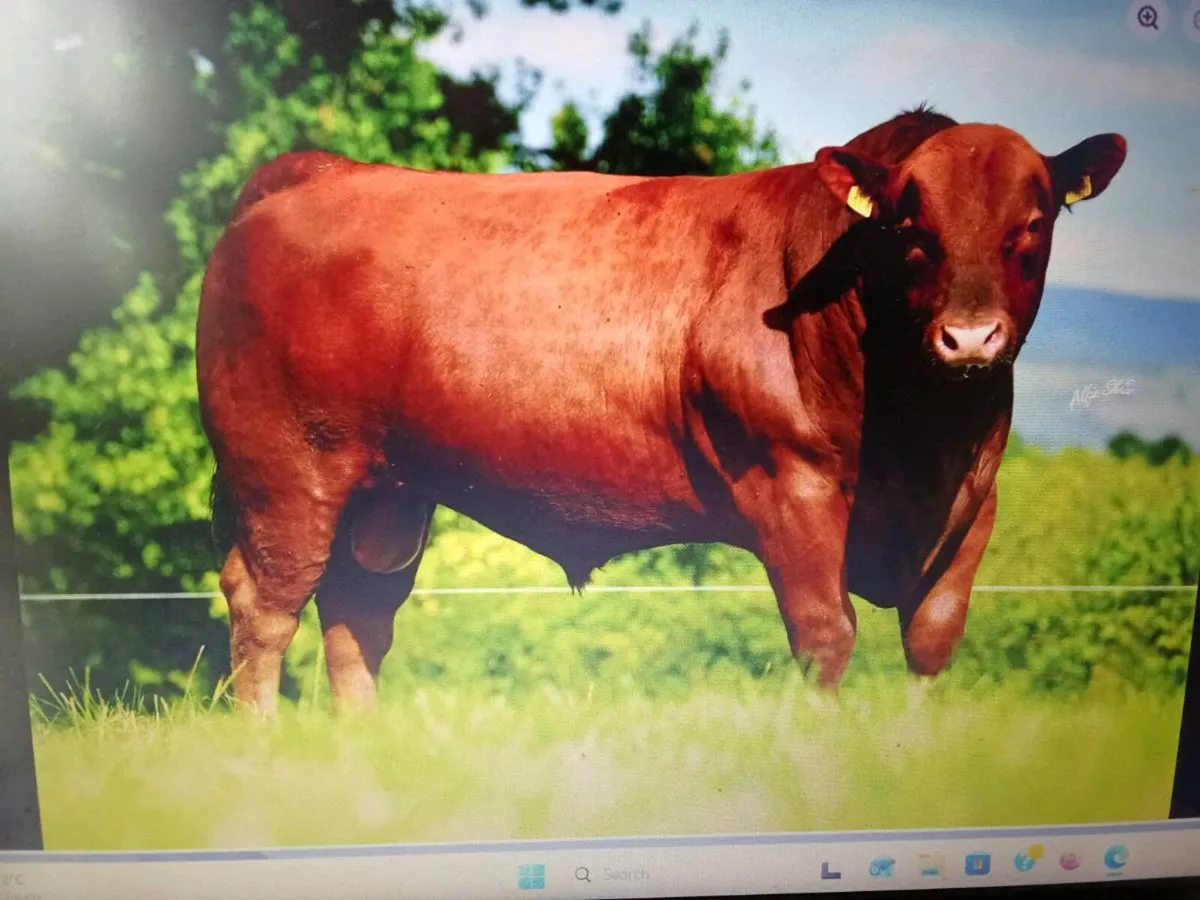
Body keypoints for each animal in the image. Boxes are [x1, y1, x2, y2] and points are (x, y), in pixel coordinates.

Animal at [197, 108, 1126, 715]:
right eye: (908, 224)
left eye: (1033, 222)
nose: (969, 337)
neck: (919, 435)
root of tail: (318, 171)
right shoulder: (790, 485)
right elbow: (826, 635)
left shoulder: (975, 500)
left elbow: (931, 641)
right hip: (287, 467)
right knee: (265, 602)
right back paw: (266, 745)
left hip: (389, 491)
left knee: (358, 612)